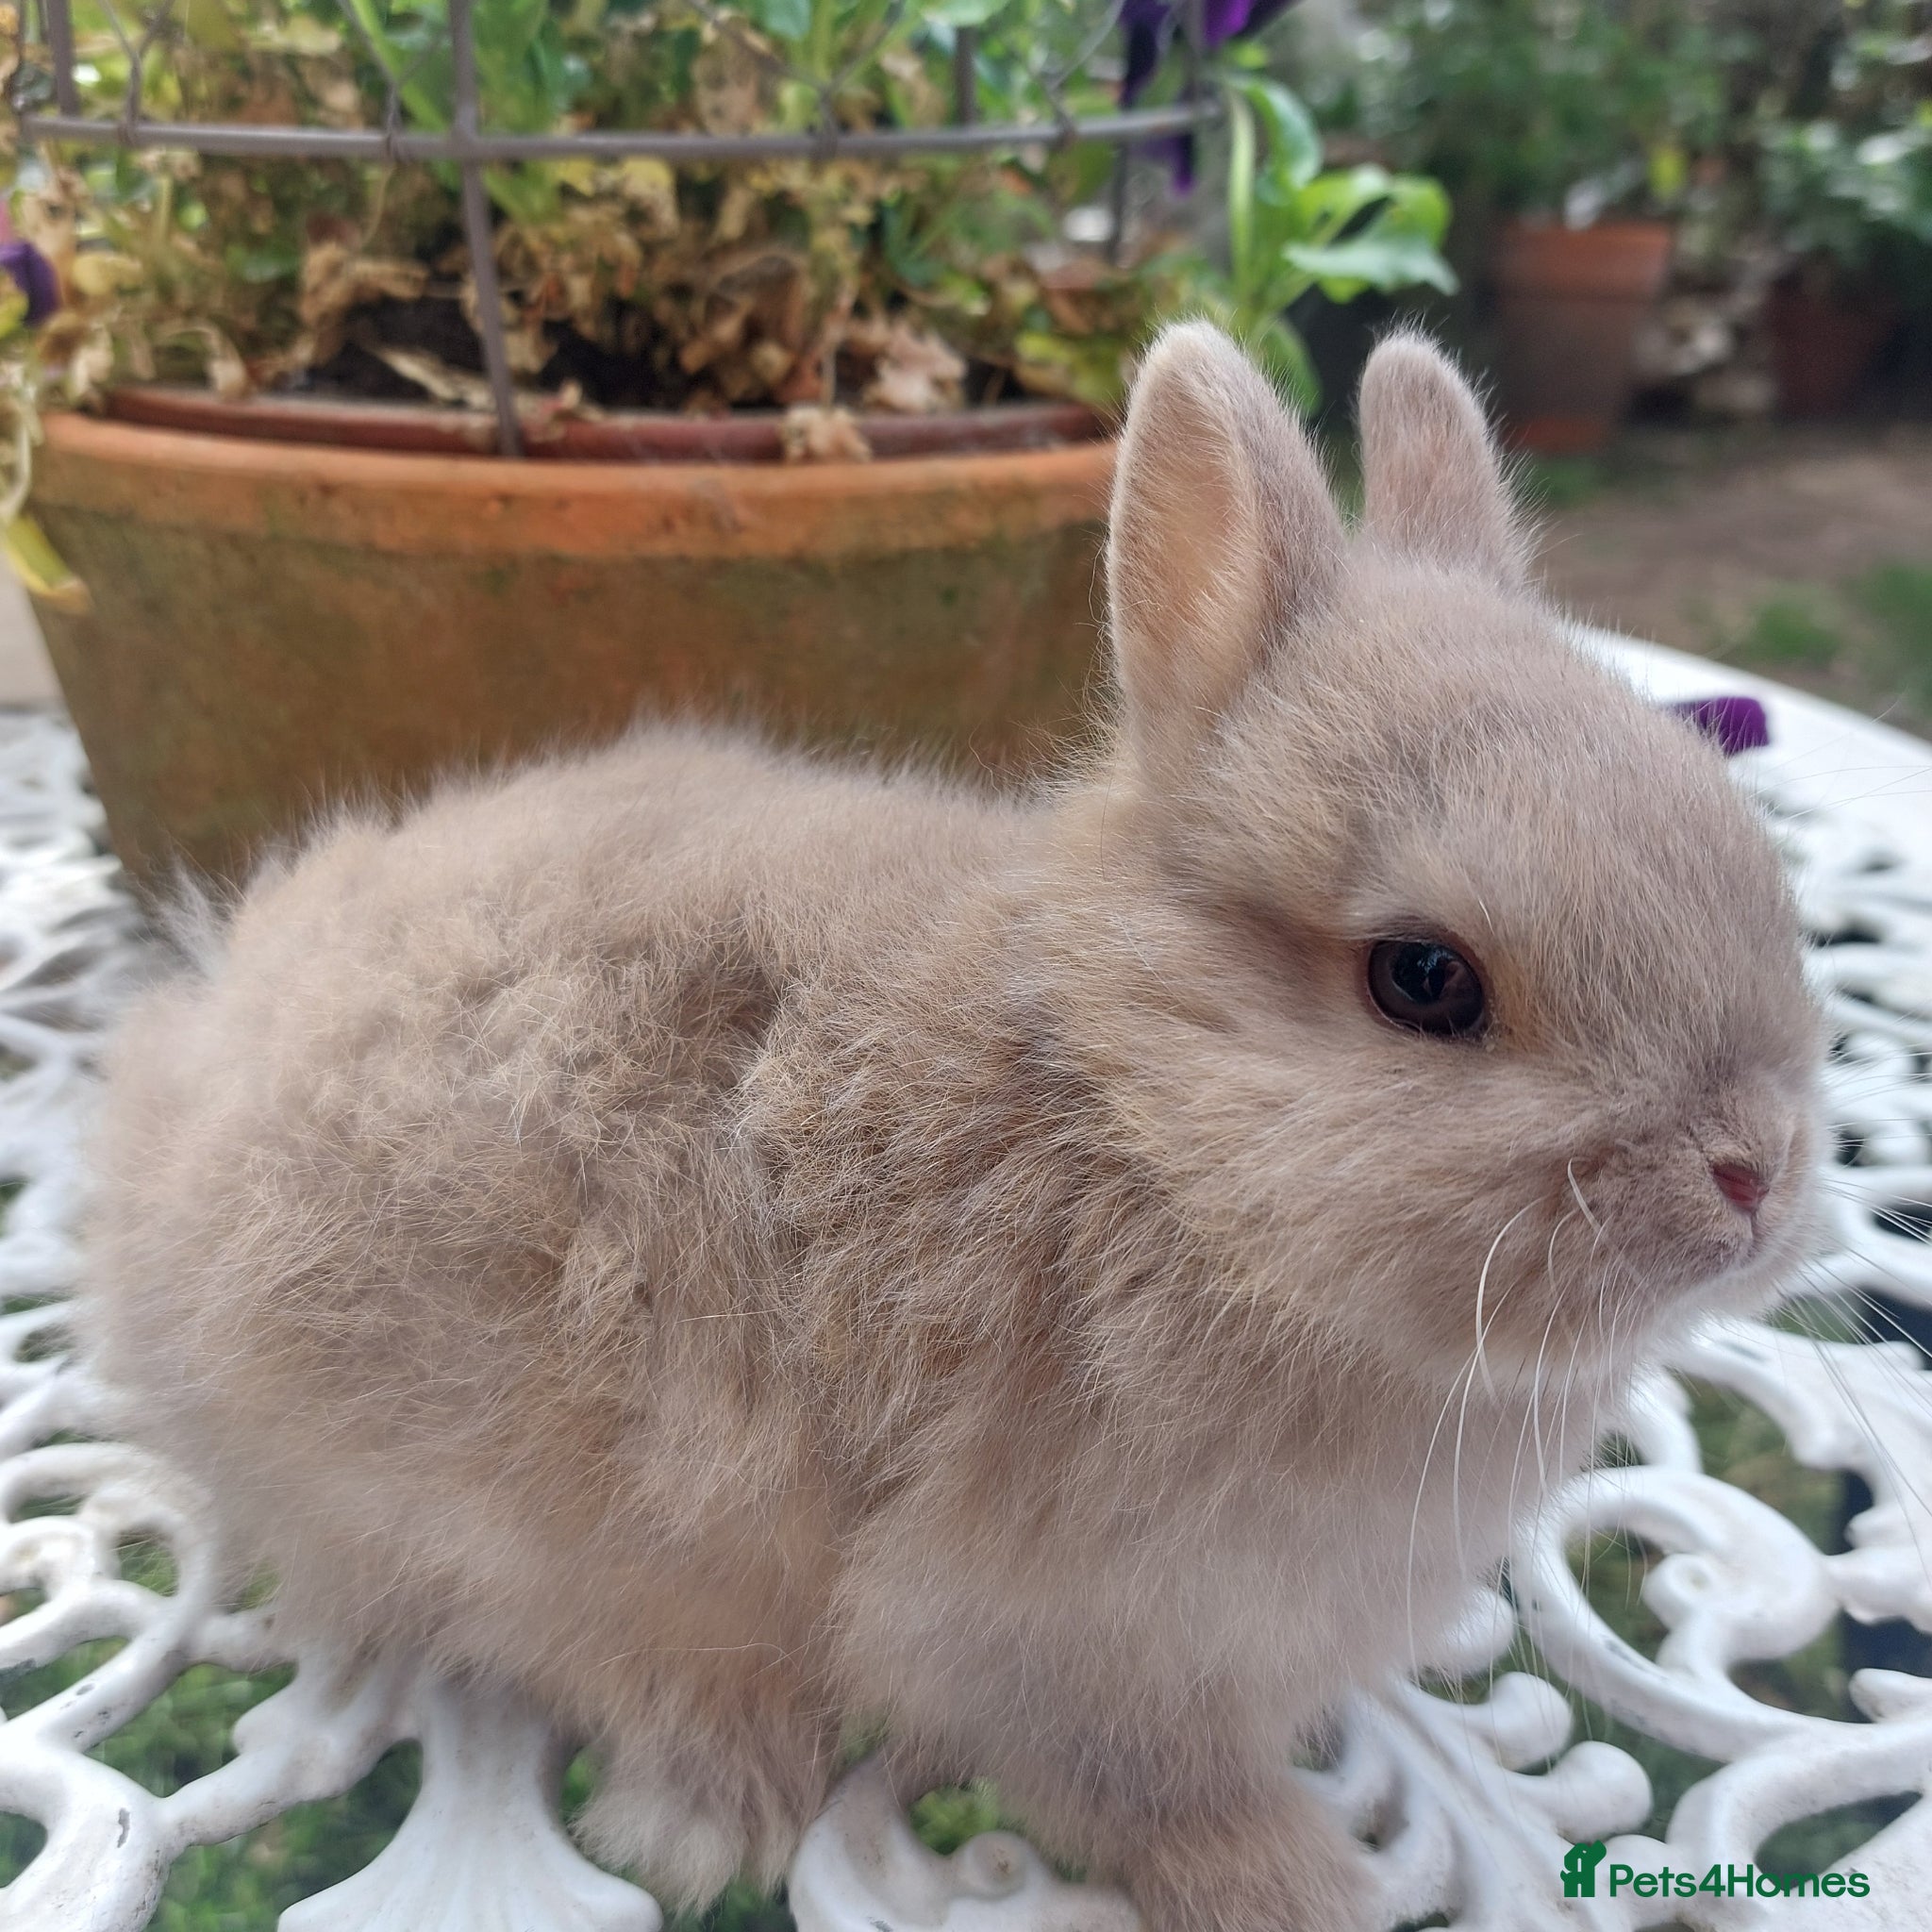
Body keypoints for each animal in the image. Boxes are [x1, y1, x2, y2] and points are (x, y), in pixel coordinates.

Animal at [79, 323, 1821, 1932]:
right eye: (1424, 978)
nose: (1753, 1175)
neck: (1147, 1134)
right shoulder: (1059, 1642)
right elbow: (1142, 1793)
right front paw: (1293, 1882)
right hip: (518, 1505)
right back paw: (719, 1803)